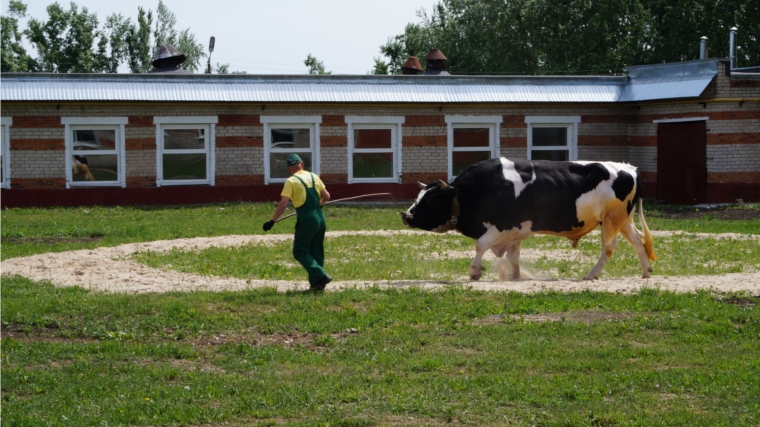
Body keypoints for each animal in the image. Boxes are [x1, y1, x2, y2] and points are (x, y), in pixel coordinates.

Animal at [400, 157, 656, 280]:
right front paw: (515, 276)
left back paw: (591, 274)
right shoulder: (517, 231)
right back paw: (645, 272)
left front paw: (474, 271)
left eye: (429, 201)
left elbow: (481, 244)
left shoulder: (503, 226)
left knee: (609, 248)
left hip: (612, 220)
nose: (406, 214)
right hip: (624, 221)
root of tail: (629, 168)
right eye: (419, 196)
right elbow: (513, 256)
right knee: (638, 242)